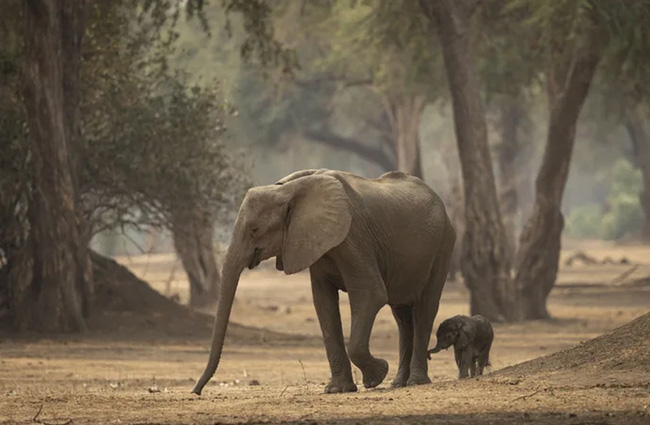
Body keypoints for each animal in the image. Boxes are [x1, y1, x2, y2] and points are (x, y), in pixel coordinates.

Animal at [191, 168, 456, 394]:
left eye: (254, 229)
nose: (196, 391)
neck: (287, 189)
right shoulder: (313, 242)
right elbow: (323, 303)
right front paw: (338, 390)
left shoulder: (352, 236)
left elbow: (371, 293)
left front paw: (376, 376)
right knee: (401, 315)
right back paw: (398, 383)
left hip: (444, 244)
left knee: (424, 309)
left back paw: (415, 382)